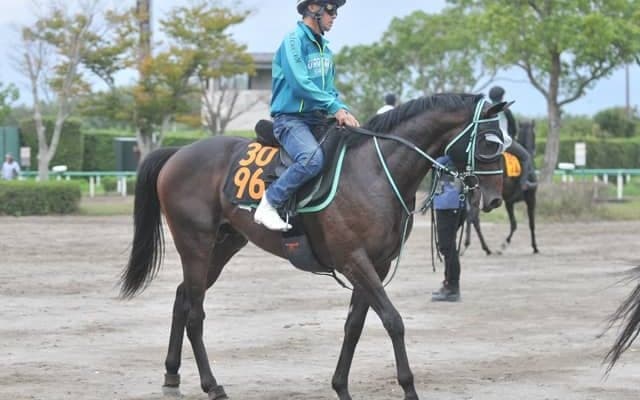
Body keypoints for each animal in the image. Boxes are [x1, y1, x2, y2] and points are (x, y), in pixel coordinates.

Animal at [120, 93, 509, 400]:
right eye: (489, 141)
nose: (494, 199)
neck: (376, 171)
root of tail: (179, 152)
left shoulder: (375, 265)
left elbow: (354, 325)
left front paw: (341, 387)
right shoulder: (355, 261)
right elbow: (393, 320)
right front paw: (408, 388)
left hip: (224, 244)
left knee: (183, 298)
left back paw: (172, 375)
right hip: (196, 244)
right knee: (195, 313)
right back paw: (211, 385)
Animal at [463, 120, 539, 255]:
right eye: (534, 134)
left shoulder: (509, 202)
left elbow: (514, 224)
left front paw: (502, 246)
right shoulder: (531, 199)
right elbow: (530, 224)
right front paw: (534, 247)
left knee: (474, 219)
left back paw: (485, 248)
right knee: (472, 217)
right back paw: (468, 245)